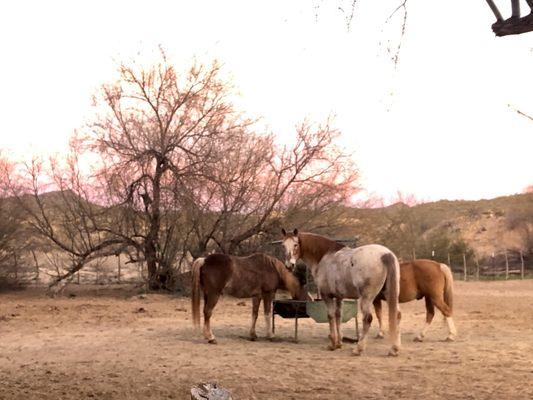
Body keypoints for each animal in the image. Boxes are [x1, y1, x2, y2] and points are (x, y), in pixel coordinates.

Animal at [280, 228, 402, 356]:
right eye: (283, 245)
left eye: (296, 244)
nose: (289, 265)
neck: (324, 256)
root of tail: (385, 254)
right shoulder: (339, 297)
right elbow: (339, 316)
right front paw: (339, 343)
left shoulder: (327, 296)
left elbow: (330, 316)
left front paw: (333, 344)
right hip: (389, 294)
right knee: (397, 315)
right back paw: (394, 349)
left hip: (367, 297)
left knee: (367, 318)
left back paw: (359, 349)